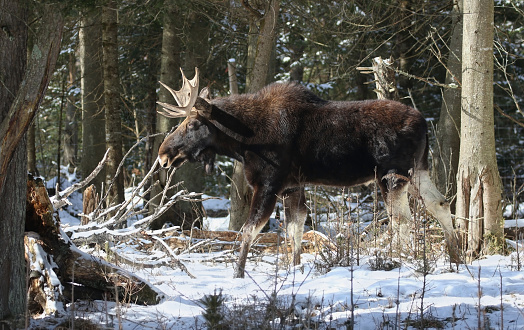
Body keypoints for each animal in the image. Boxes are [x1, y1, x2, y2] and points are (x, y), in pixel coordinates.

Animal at [157, 69, 458, 278]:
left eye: (193, 124)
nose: (163, 155)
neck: (243, 142)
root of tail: (424, 123)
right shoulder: (293, 185)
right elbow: (295, 228)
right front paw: (295, 267)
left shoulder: (268, 183)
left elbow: (250, 230)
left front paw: (238, 273)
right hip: (417, 170)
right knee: (441, 204)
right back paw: (456, 257)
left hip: (391, 175)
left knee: (402, 220)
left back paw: (396, 260)